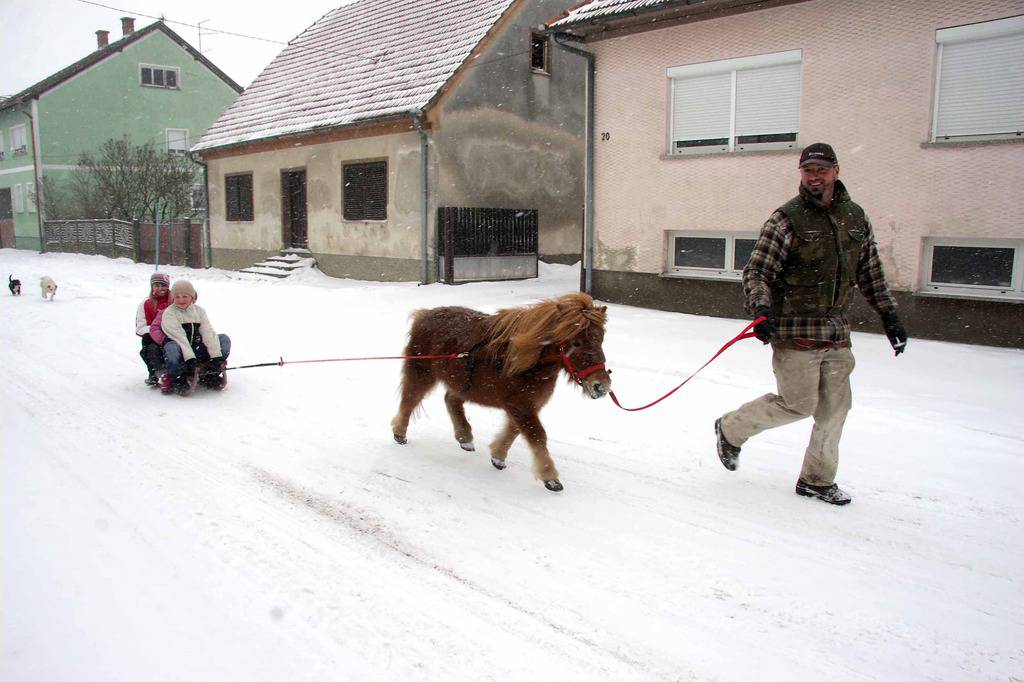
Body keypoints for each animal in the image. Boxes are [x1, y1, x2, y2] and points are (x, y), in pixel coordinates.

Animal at [391, 290, 606, 489]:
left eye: (601, 339)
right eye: (576, 342)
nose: (601, 386)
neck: (528, 362)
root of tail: (424, 315)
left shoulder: (524, 406)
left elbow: (514, 430)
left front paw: (498, 456)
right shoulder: (521, 406)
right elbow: (537, 435)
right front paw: (550, 476)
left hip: (460, 383)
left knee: (451, 400)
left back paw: (464, 437)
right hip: (422, 373)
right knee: (410, 399)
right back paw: (399, 433)